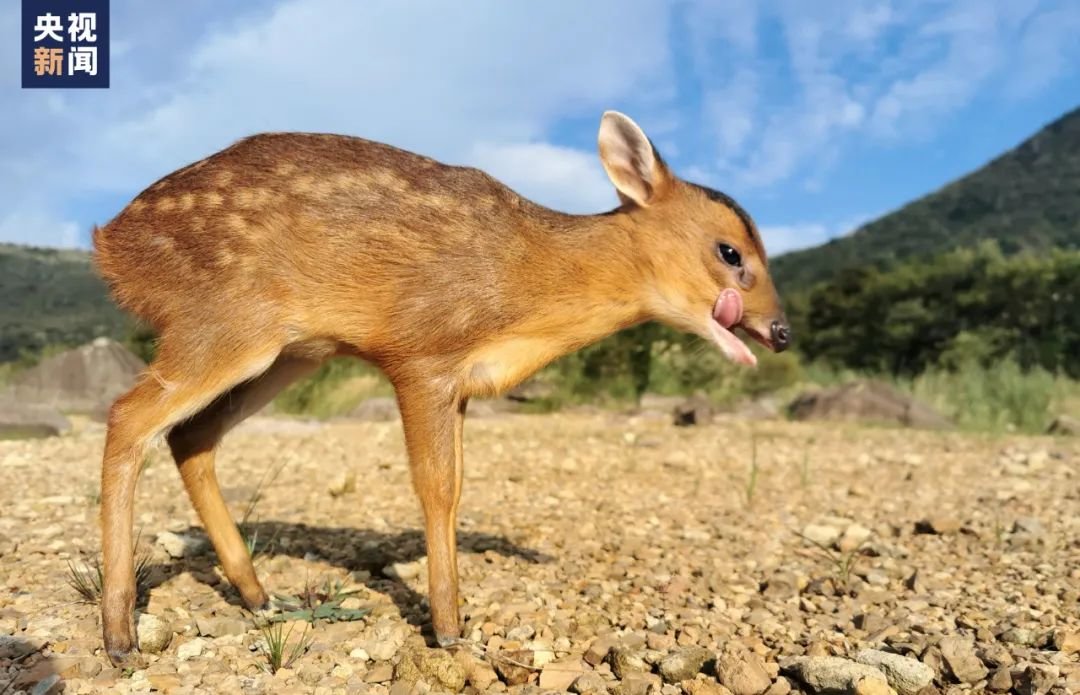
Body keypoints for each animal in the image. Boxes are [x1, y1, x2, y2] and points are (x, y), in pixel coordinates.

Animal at [92, 110, 790, 660]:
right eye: (730, 253)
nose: (780, 331)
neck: (529, 292)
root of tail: (110, 246)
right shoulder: (421, 354)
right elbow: (435, 487)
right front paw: (449, 629)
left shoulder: (458, 385)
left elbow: (456, 489)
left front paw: (455, 614)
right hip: (225, 317)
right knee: (129, 416)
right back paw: (119, 634)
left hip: (289, 351)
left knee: (191, 434)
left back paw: (260, 595)